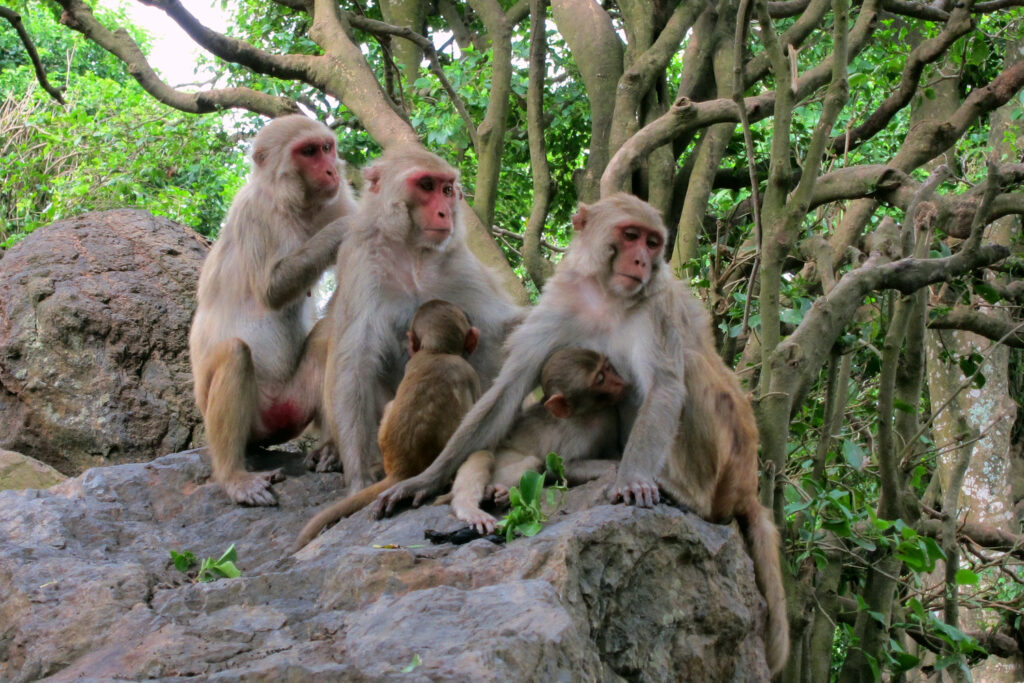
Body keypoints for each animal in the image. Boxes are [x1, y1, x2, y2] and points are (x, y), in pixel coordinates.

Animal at [452, 350, 626, 536]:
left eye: (608, 367)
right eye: (600, 378)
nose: (620, 381)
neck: (589, 414)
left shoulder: (610, 417)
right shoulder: (574, 433)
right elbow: (566, 467)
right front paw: (615, 467)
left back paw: (497, 493)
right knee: (492, 455)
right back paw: (469, 506)